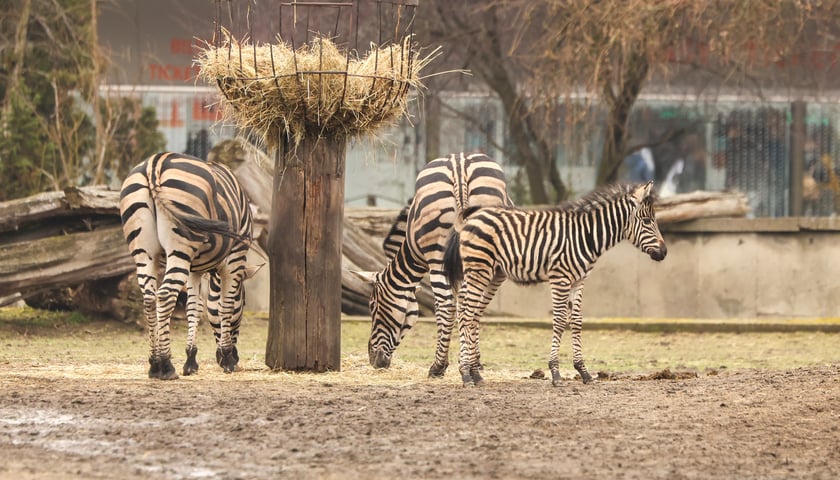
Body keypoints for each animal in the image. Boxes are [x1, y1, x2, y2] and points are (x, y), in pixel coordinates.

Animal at [116, 151, 258, 378]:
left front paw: (191, 360)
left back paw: (154, 362)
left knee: (149, 299)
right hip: (180, 247)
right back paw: (165, 365)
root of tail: (154, 163)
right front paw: (227, 358)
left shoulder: (194, 270)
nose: (235, 359)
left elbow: (194, 308)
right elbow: (225, 306)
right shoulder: (235, 257)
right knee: (165, 295)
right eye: (243, 304)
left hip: (144, 252)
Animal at [360, 153, 512, 376]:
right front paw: (473, 360)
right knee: (469, 303)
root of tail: (460, 165)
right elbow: (472, 307)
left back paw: (437, 366)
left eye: (372, 305)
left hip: (437, 256)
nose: (374, 361)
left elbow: (448, 308)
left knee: (446, 304)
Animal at [442, 180, 668, 386]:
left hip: (491, 274)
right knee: (466, 314)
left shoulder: (578, 281)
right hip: (479, 270)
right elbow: (559, 321)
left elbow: (576, 322)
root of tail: (473, 216)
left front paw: (584, 372)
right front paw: (555, 373)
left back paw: (475, 374)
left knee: (471, 313)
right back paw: (466, 374)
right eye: (647, 221)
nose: (664, 253)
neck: (586, 236)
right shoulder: (560, 278)